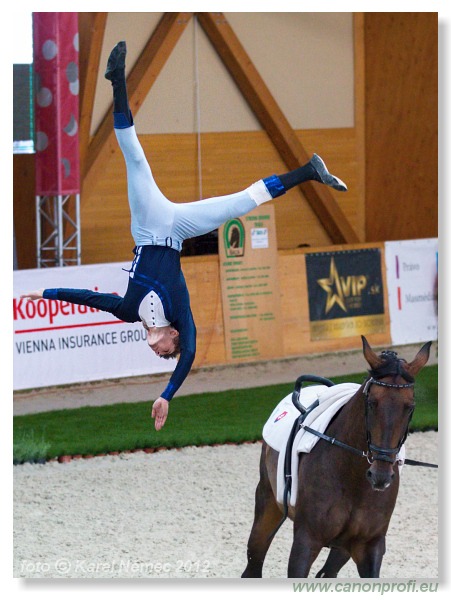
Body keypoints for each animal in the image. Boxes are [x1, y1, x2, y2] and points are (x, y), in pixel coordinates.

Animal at [242, 338, 432, 576]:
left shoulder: (370, 545)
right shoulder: (306, 540)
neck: (352, 477)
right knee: (254, 561)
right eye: (372, 402)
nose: (380, 476)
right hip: (268, 503)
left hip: (343, 548)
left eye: (409, 407)